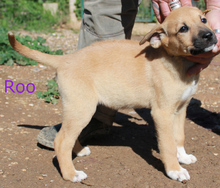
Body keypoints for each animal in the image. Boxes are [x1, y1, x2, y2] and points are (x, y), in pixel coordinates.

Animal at [8, 6, 217, 182]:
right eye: (183, 29)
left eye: (204, 19)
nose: (210, 35)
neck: (177, 61)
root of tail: (65, 59)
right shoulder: (162, 113)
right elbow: (168, 144)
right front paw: (175, 170)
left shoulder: (181, 109)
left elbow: (178, 137)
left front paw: (183, 157)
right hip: (82, 108)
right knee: (61, 140)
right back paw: (71, 174)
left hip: (79, 109)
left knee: (68, 135)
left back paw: (79, 151)